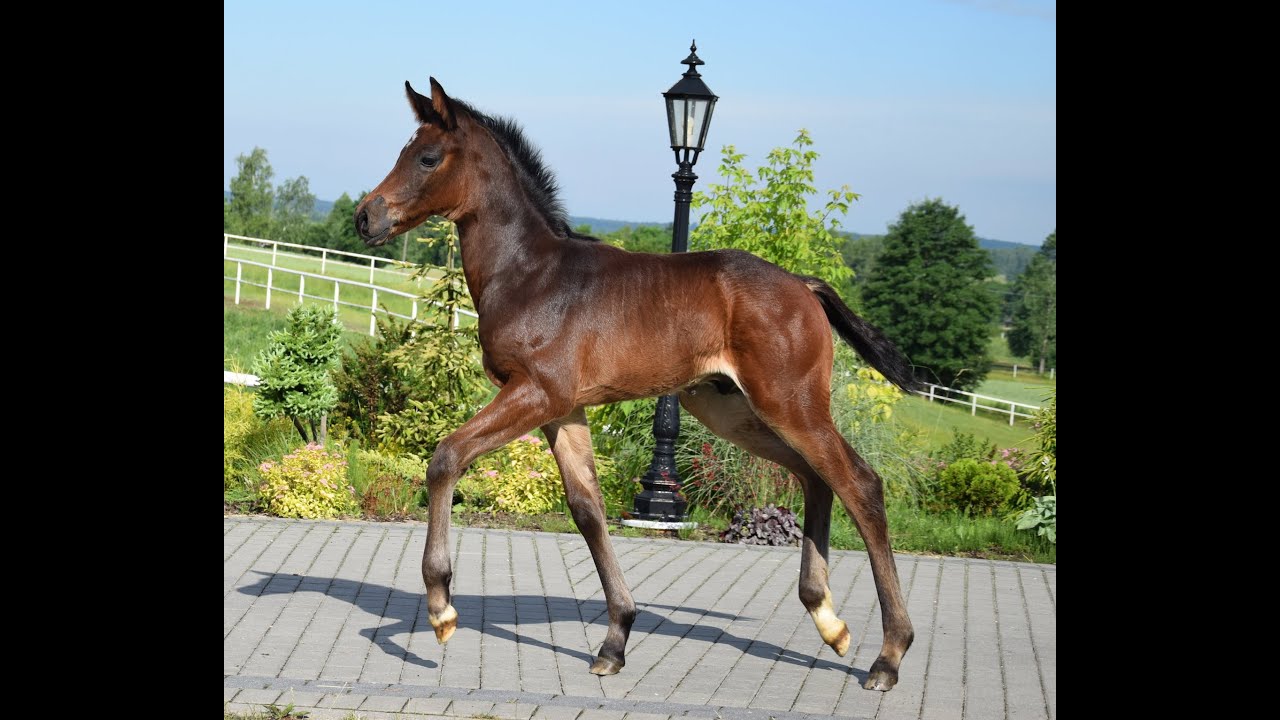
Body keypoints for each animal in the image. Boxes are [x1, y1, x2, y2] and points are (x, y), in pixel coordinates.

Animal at [354, 77, 916, 692]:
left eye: (428, 158)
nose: (365, 217)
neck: (530, 275)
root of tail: (804, 285)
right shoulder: (563, 411)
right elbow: (588, 510)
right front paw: (616, 639)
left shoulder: (536, 393)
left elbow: (446, 458)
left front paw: (441, 608)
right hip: (731, 409)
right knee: (816, 479)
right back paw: (828, 620)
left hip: (790, 402)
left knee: (860, 484)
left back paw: (888, 654)